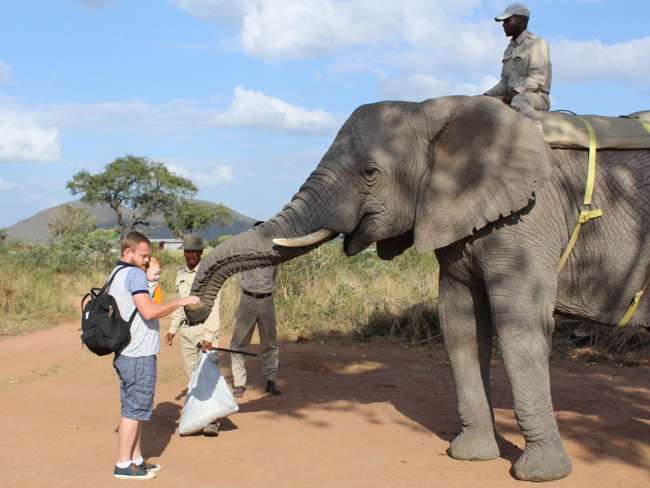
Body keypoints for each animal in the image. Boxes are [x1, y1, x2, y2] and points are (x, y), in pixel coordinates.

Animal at [185, 95, 650, 482]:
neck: (440, 109)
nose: (192, 310)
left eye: (370, 173)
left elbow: (519, 325)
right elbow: (460, 323)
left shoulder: (529, 217)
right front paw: (469, 456)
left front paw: (539, 475)